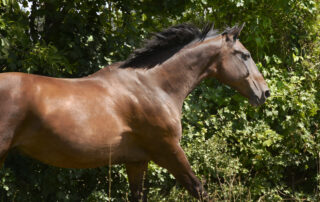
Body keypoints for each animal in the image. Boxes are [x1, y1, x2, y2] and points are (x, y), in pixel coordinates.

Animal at [0, 23, 270, 200]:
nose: (265, 92)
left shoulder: (136, 161)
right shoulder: (168, 150)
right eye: (245, 55)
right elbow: (199, 190)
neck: (153, 85)